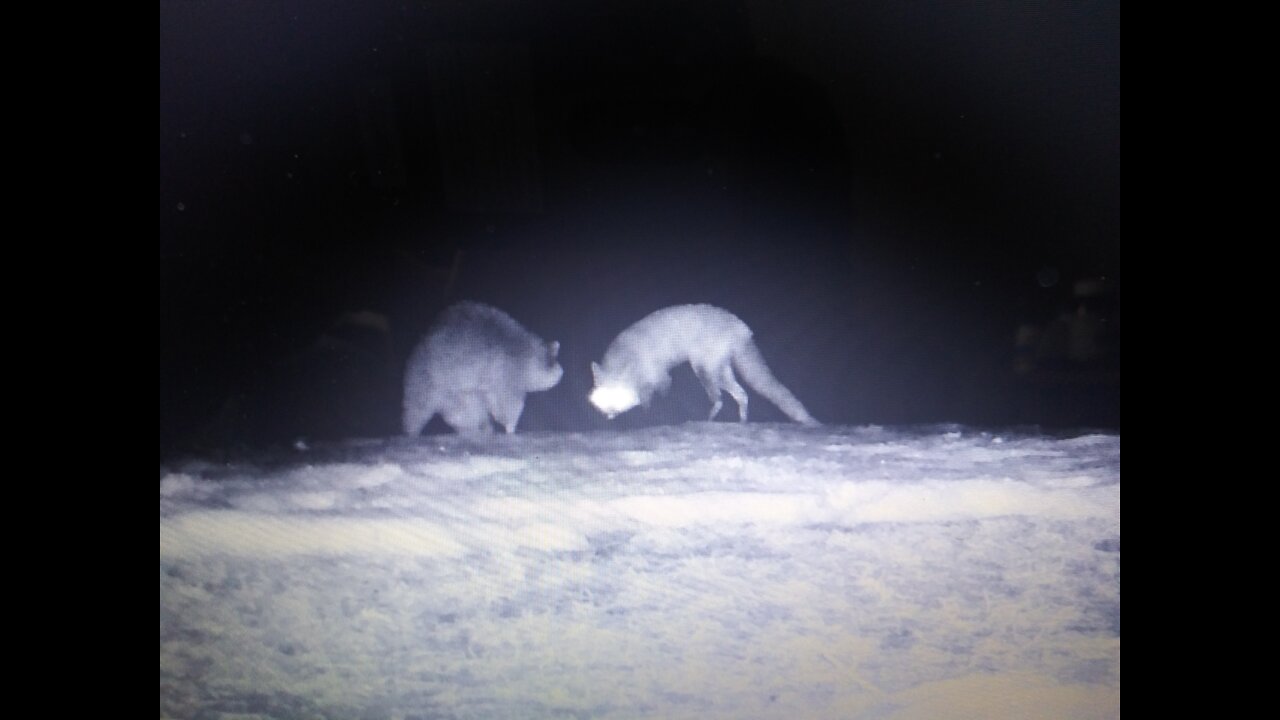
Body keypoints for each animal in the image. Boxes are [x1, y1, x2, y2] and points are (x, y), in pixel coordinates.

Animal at [403, 302, 563, 436]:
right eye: (554, 361)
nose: (562, 372)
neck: (531, 354)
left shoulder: (492, 380)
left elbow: (493, 400)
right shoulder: (509, 371)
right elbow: (510, 403)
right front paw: (510, 426)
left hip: (455, 393)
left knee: (465, 411)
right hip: (426, 380)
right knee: (417, 409)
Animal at [589, 304, 818, 425]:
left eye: (618, 399)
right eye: (605, 401)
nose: (609, 415)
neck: (630, 357)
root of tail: (741, 327)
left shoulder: (658, 375)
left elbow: (655, 396)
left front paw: (651, 414)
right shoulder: (651, 378)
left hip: (703, 369)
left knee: (719, 399)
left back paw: (708, 420)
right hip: (721, 371)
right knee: (741, 394)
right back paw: (742, 422)